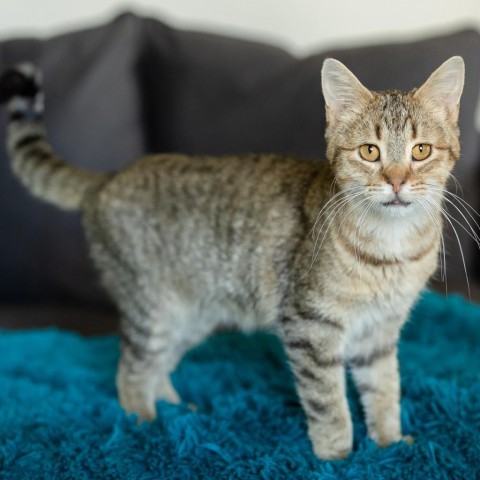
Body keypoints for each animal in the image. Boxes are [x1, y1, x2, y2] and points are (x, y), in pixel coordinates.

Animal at [0, 57, 464, 462]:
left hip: (188, 318)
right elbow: (329, 402)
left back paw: (174, 410)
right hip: (154, 310)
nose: (397, 181)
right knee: (129, 371)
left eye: (421, 151)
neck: (392, 251)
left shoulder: (380, 333)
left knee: (155, 367)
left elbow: (385, 391)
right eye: (369, 151)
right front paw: (338, 457)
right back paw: (147, 424)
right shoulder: (310, 325)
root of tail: (108, 177)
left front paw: (389, 444)